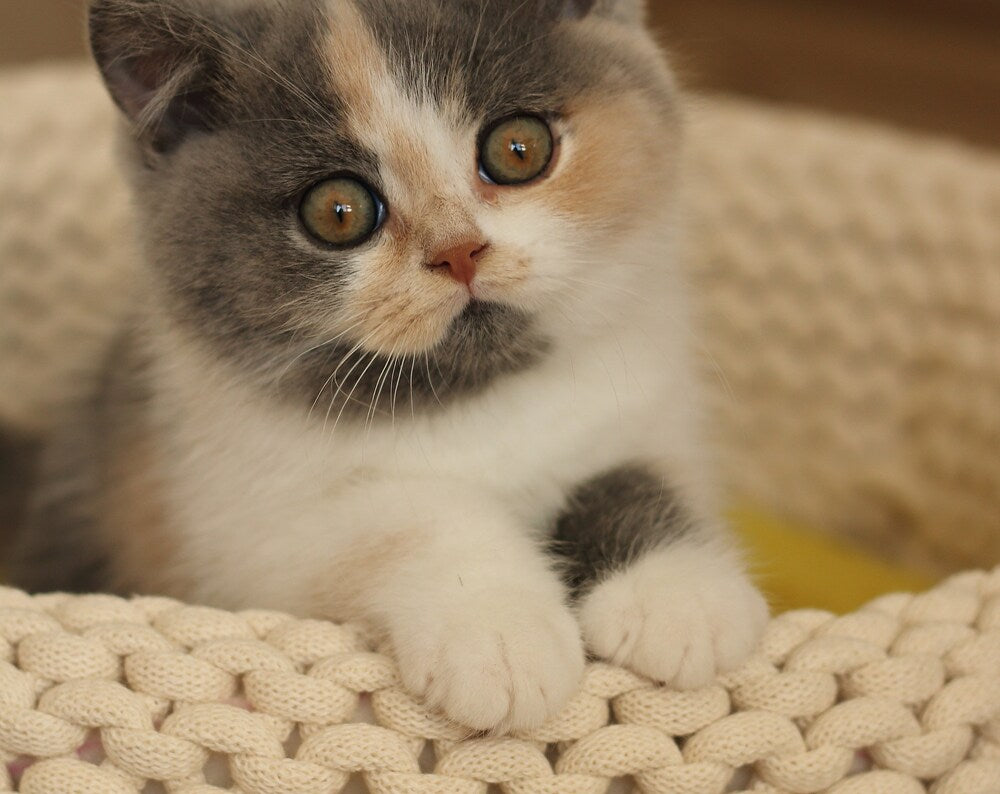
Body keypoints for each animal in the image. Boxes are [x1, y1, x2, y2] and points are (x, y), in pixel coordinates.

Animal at [11, 0, 764, 732]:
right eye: (338, 212)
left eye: (519, 149)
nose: (459, 250)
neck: (469, 396)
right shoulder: (234, 534)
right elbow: (409, 515)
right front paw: (499, 633)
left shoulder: (649, 406)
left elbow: (630, 470)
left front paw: (678, 597)